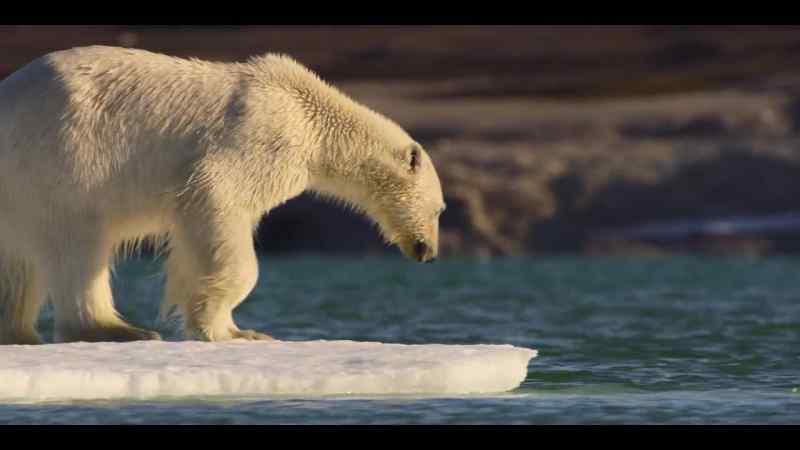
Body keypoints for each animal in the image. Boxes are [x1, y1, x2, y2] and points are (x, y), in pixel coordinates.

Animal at [0, 46, 445, 345]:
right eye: (440, 209)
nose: (428, 252)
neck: (308, 114)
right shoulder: (258, 138)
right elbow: (217, 200)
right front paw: (224, 328)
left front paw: (236, 328)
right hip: (61, 161)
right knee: (78, 244)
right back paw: (118, 330)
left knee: (20, 264)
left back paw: (20, 333)